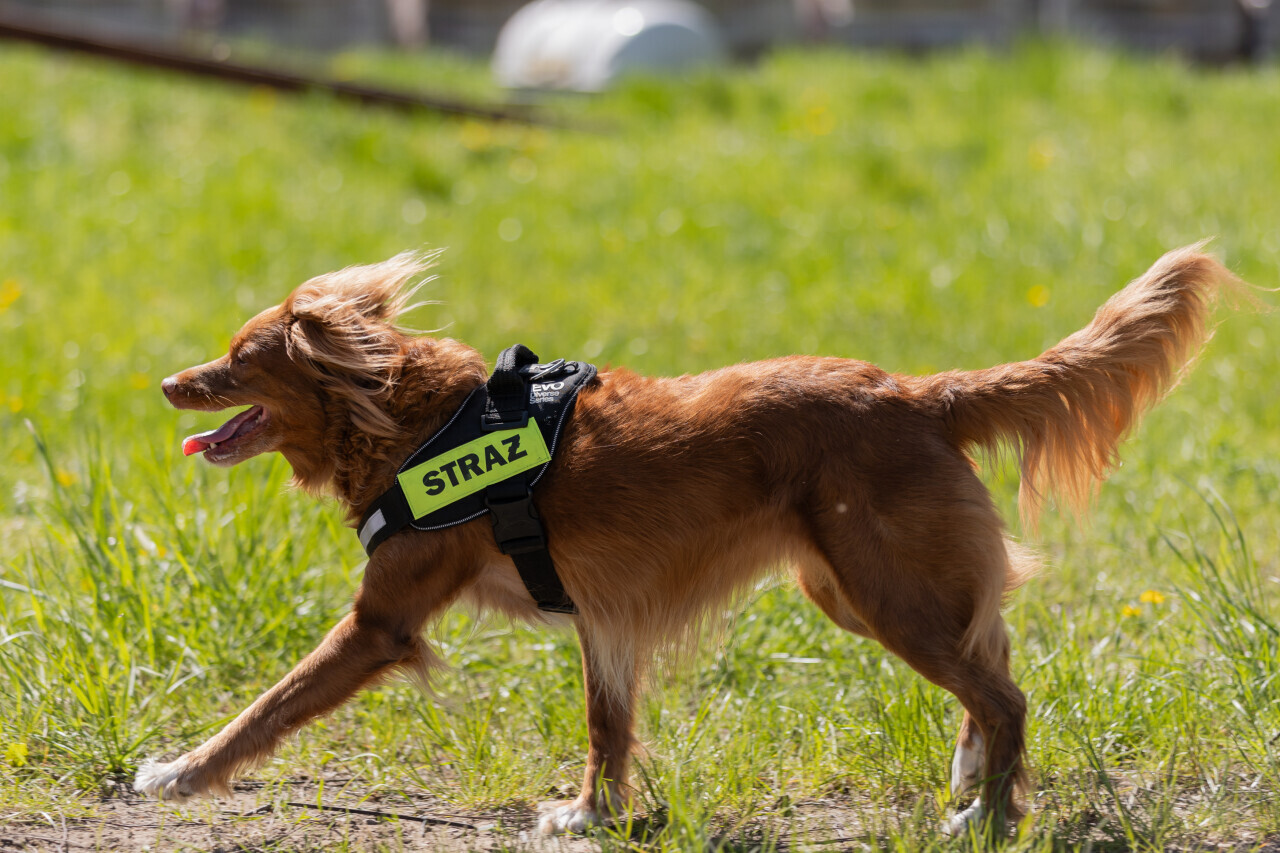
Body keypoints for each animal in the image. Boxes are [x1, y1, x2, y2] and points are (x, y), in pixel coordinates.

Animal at [136, 245, 1236, 834]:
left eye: (239, 360)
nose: (168, 384)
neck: (412, 417)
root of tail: (917, 394)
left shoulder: (379, 623)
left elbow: (267, 706)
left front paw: (180, 772)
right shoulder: (603, 615)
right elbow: (605, 726)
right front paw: (593, 815)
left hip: (884, 592)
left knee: (1005, 692)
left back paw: (990, 817)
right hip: (856, 587)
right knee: (991, 659)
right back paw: (973, 778)